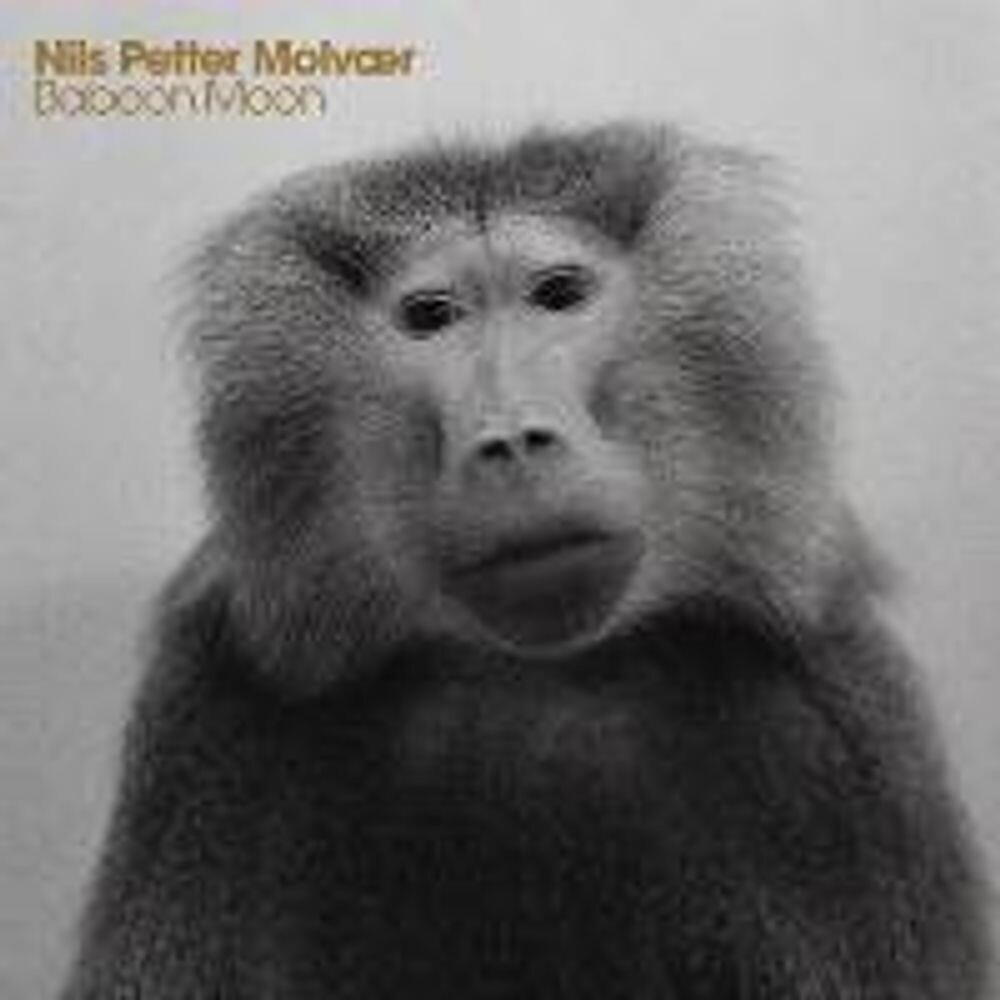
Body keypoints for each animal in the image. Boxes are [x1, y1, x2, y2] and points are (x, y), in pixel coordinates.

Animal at [61, 122, 991, 999]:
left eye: (558, 295)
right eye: (431, 316)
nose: (512, 440)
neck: (537, 676)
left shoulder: (832, 737)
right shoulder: (211, 727)